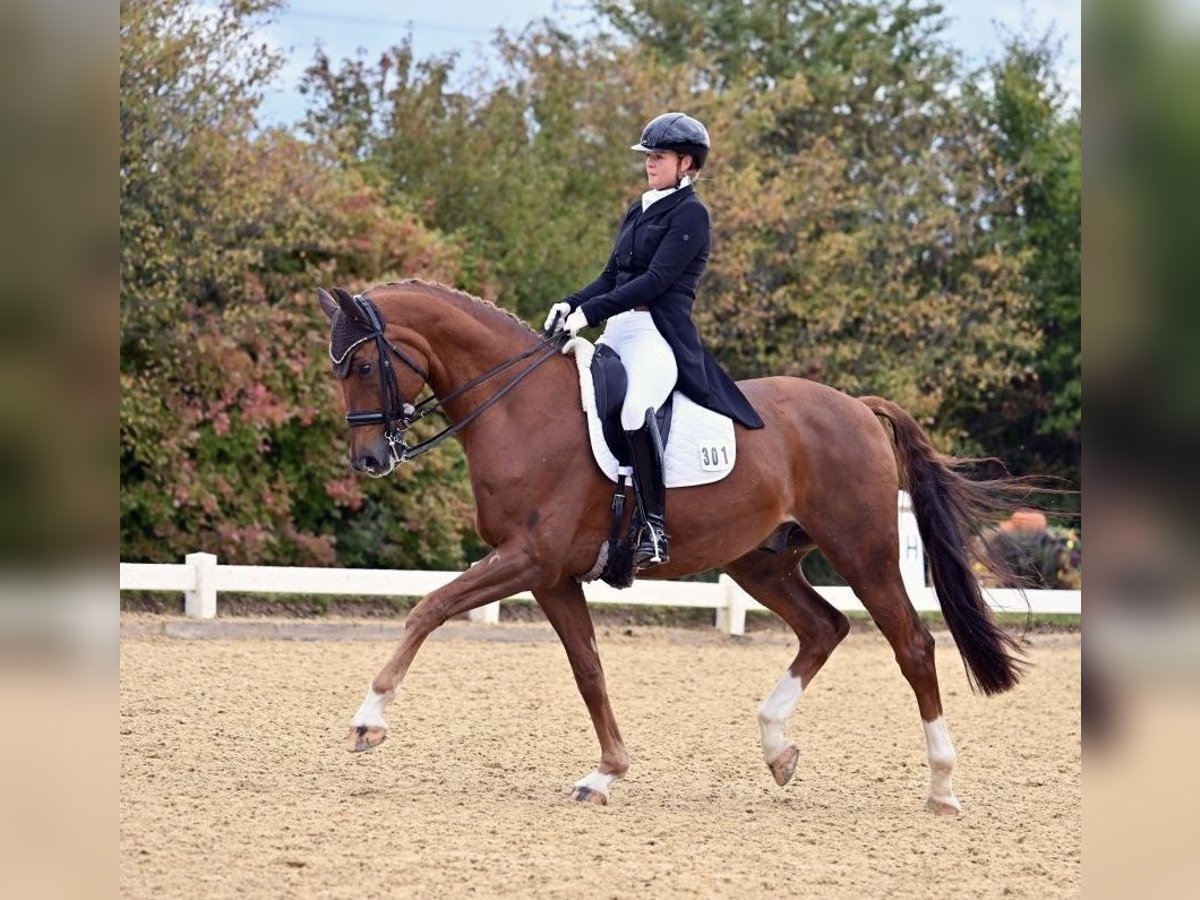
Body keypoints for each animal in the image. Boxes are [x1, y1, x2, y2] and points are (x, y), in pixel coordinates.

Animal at [316, 278, 1022, 816]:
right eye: (337, 369)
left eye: (362, 365)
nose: (370, 460)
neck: (518, 408)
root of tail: (855, 405)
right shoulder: (551, 576)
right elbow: (588, 668)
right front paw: (606, 773)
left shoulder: (529, 559)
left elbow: (427, 609)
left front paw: (367, 721)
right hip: (761, 562)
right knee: (824, 628)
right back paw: (778, 749)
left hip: (863, 551)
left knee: (914, 646)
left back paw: (942, 788)